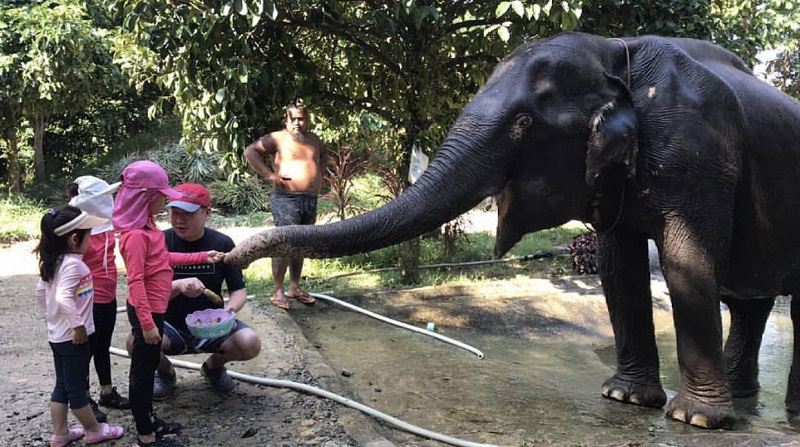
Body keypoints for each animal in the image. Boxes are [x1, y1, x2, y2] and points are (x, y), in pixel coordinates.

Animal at [226, 32, 800, 430]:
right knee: (750, 301)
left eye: (523, 125)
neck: (617, 53)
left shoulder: (700, 159)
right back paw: (746, 400)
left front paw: (694, 420)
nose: (229, 258)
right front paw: (624, 398)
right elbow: (618, 268)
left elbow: (688, 264)